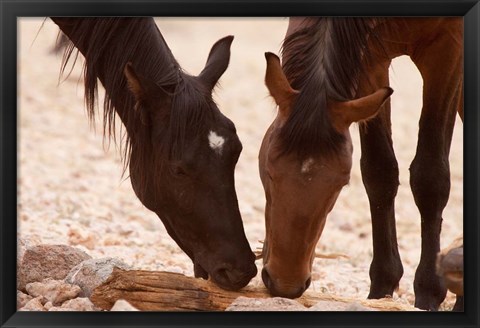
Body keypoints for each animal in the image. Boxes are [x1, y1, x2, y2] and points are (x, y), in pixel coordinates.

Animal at [260, 17, 464, 310]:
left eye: (341, 184)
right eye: (268, 171)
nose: (284, 283)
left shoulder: (447, 47)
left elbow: (430, 178)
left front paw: (428, 292)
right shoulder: (371, 58)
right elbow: (380, 172)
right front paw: (381, 288)